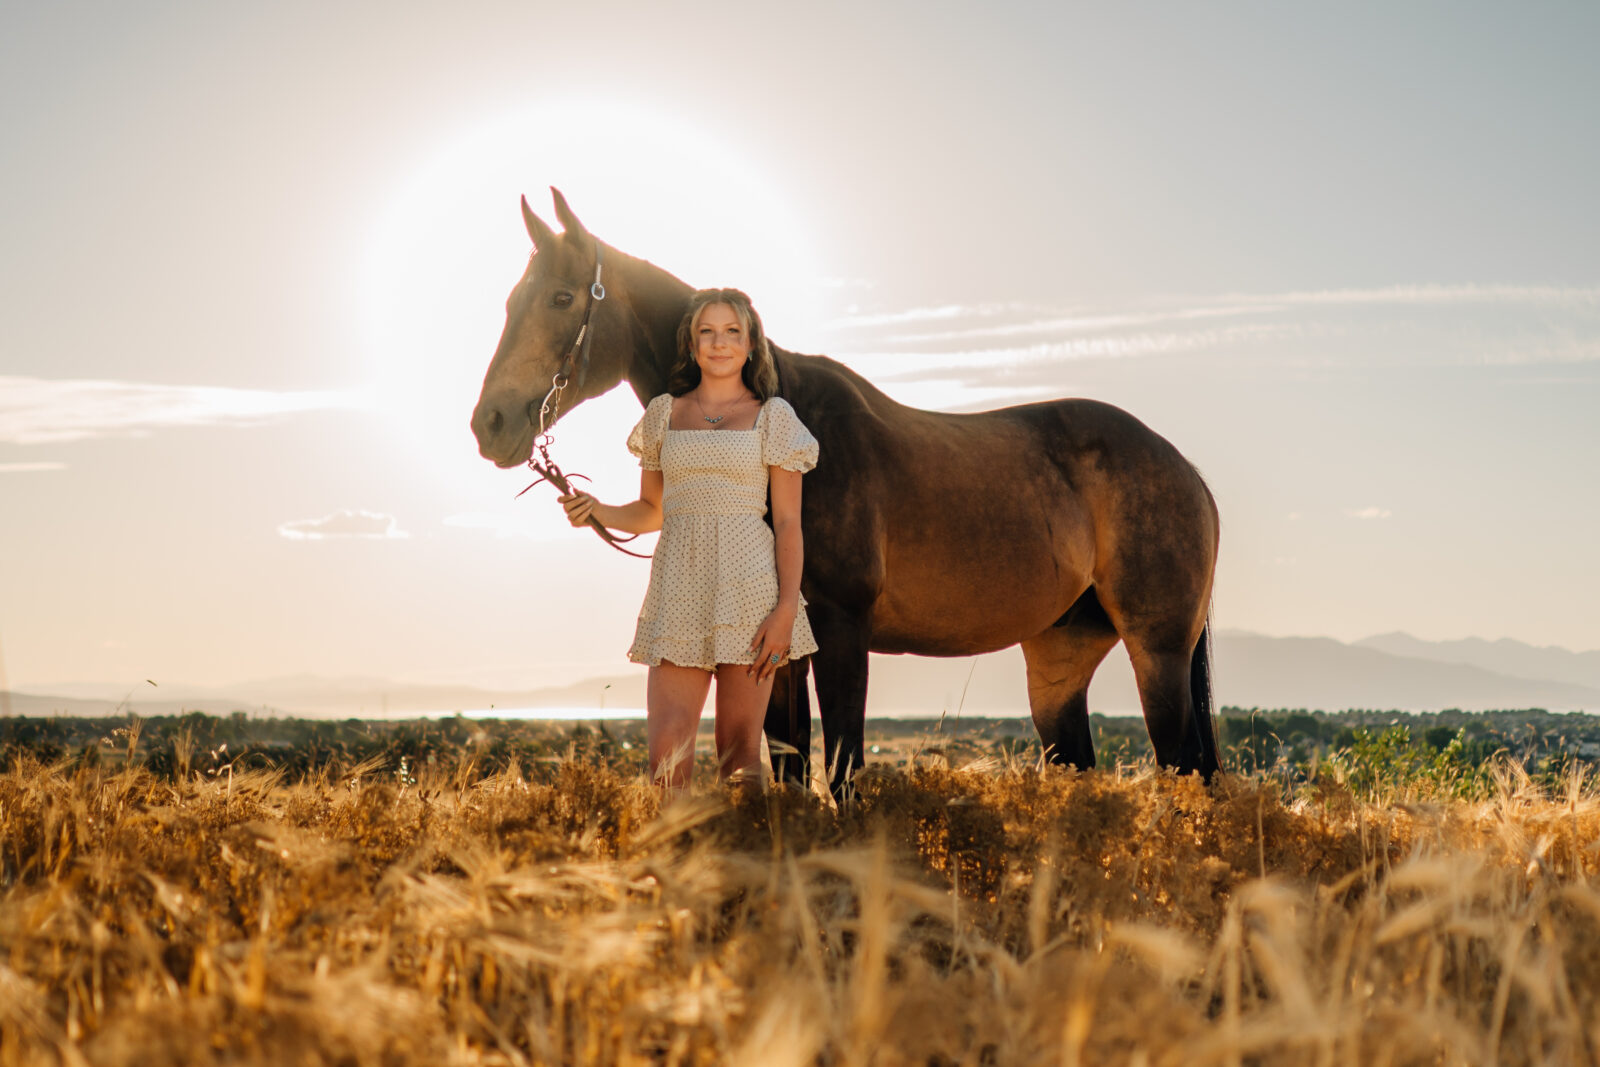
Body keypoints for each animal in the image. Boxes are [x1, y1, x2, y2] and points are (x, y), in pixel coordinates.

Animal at [472, 190, 1221, 801]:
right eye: (509, 301)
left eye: (562, 298)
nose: (490, 424)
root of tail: (1186, 471)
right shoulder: (778, 653)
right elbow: (789, 768)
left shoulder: (842, 629)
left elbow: (842, 776)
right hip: (1061, 656)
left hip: (1158, 650)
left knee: (1185, 768)